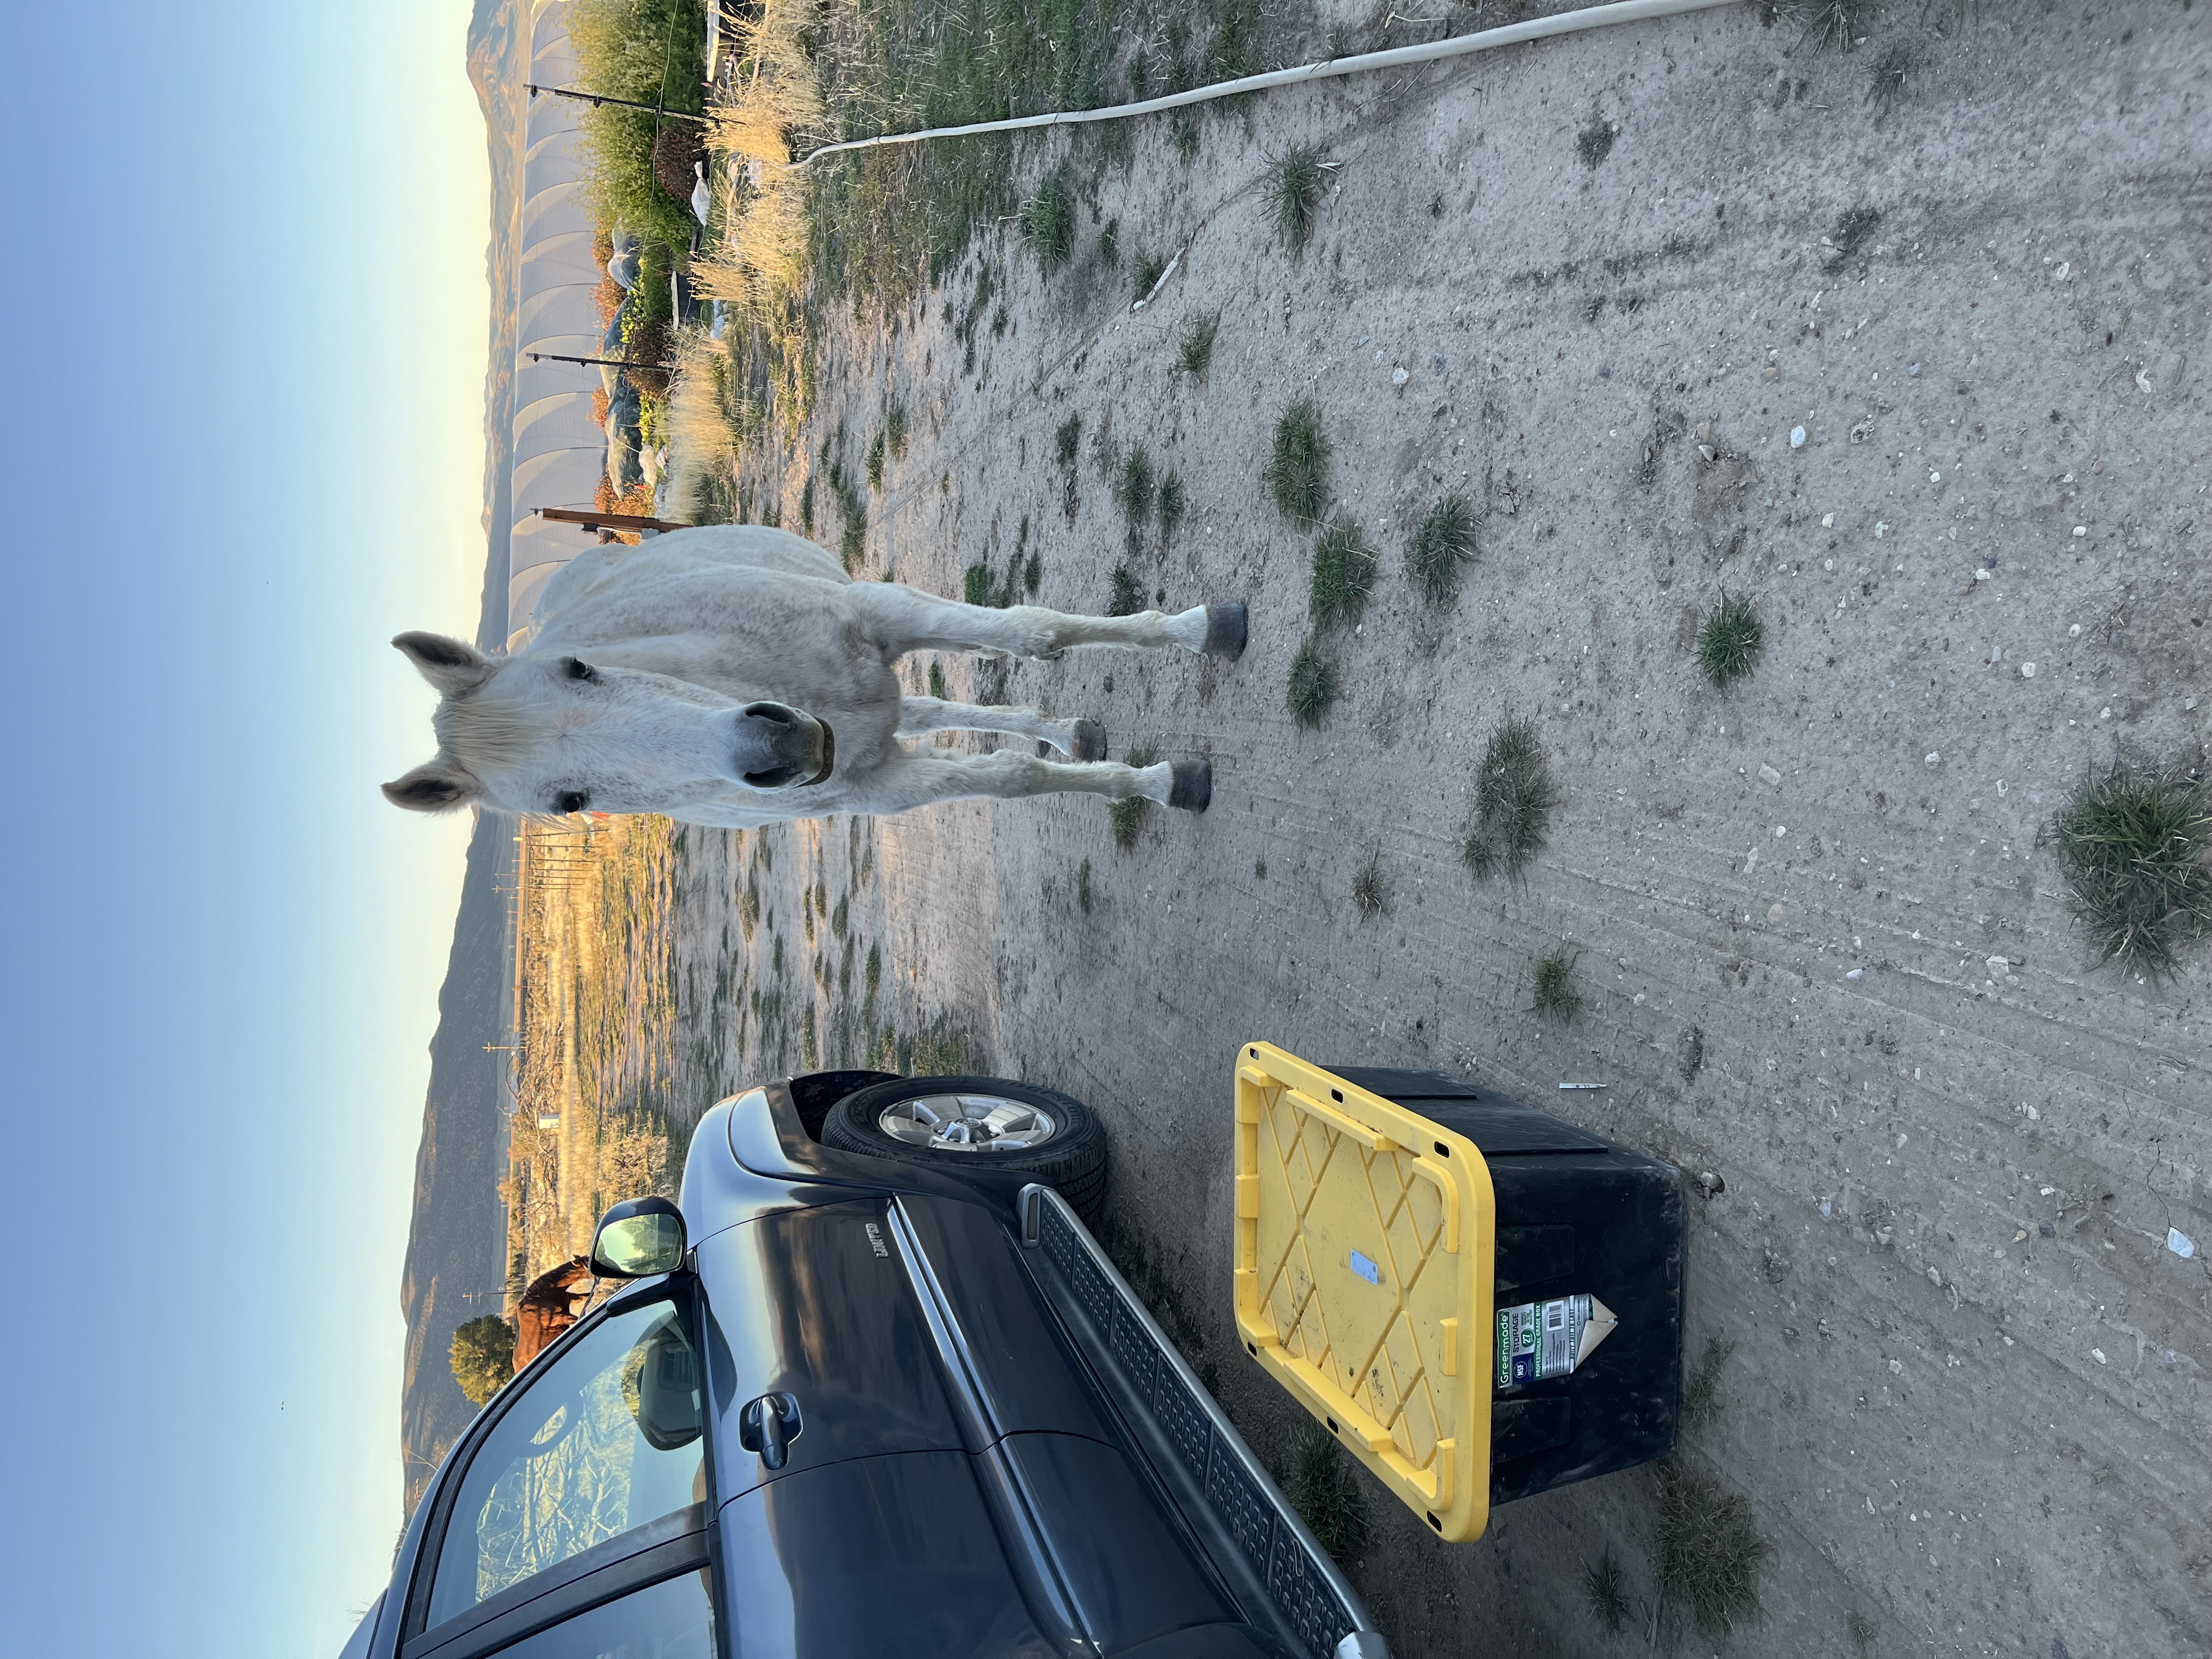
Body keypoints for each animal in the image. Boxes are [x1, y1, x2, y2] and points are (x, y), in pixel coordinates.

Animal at [382, 525, 1246, 830]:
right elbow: (1011, 777)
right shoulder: (883, 789)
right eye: (568, 801)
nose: (778, 750)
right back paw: (1068, 734)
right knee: (931, 714)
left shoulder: (881, 611)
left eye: (578, 667)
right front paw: (1161, 783)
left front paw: (1204, 626)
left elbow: (1035, 630)